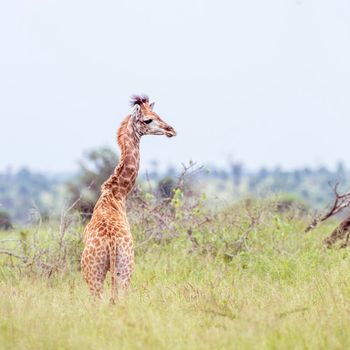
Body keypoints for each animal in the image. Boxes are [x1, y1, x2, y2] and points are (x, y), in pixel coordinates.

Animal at [80, 95, 176, 300]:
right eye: (148, 119)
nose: (171, 130)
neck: (116, 193)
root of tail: (111, 244)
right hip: (120, 270)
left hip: (104, 273)